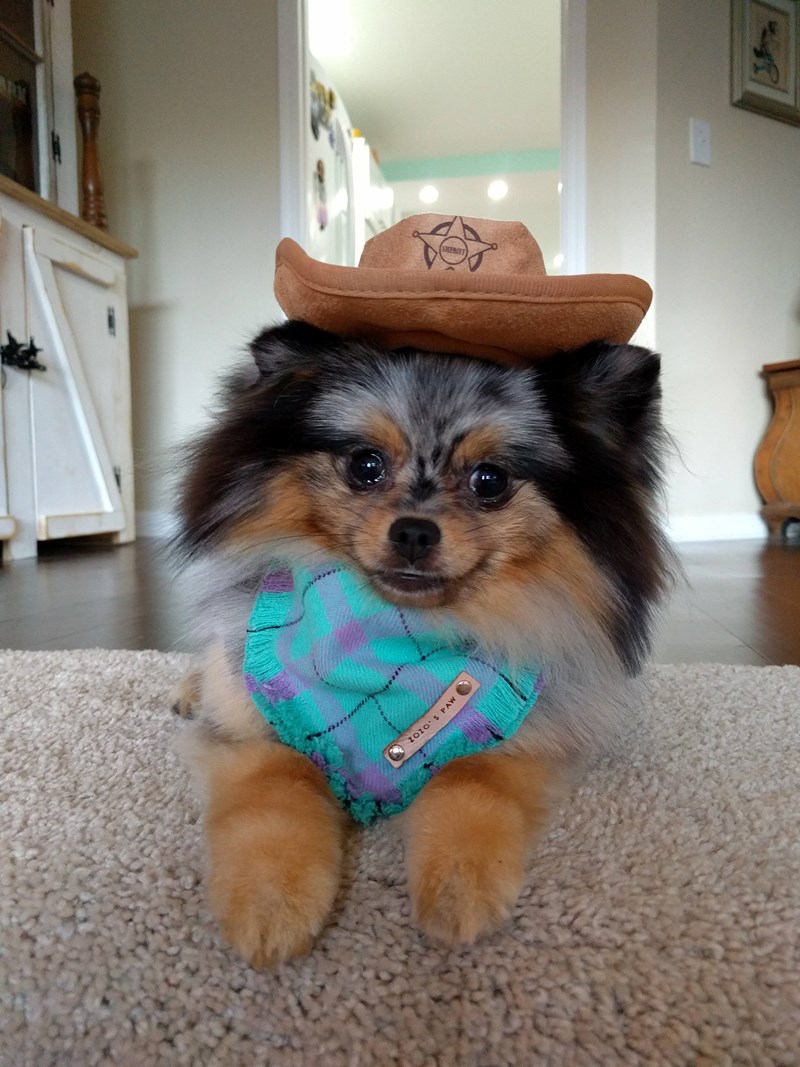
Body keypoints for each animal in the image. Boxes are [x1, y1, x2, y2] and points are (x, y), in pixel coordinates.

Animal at [171, 316, 671, 969]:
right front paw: (272, 904)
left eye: (490, 481)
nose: (413, 531)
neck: (396, 635)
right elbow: (280, 787)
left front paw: (458, 890)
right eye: (365, 465)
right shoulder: (249, 732)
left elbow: (468, 781)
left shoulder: (524, 736)